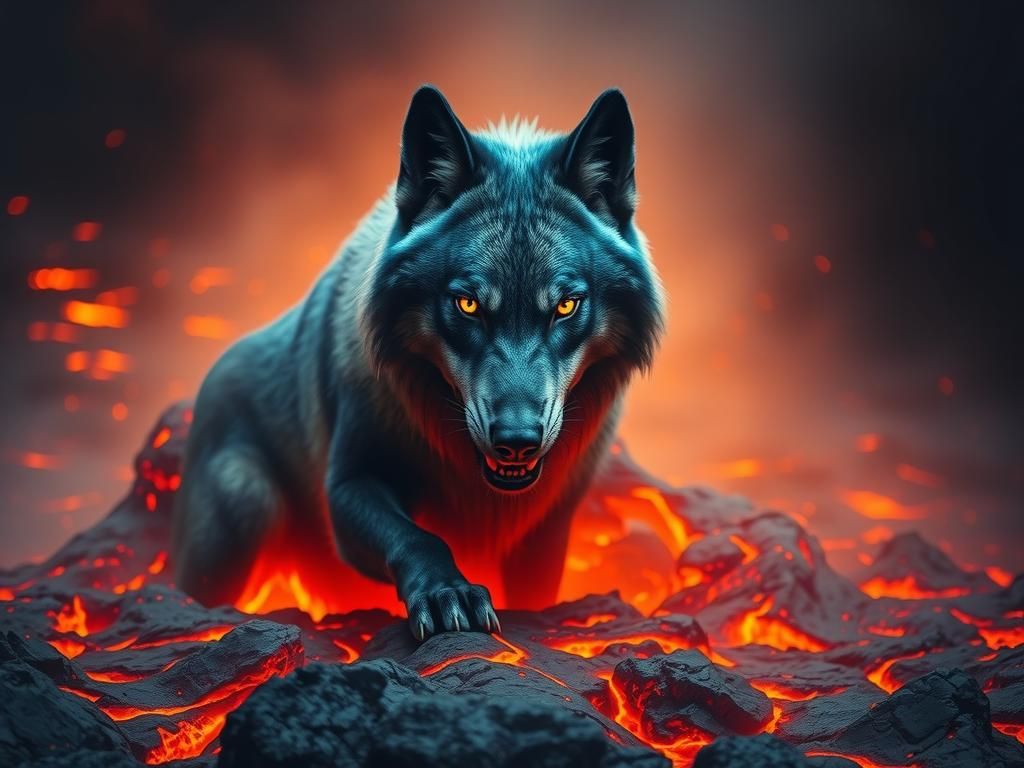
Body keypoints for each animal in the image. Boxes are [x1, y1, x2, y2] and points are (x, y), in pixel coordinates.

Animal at [171, 85, 664, 639]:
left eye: (565, 306)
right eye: (467, 304)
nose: (516, 440)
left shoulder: (548, 531)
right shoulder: (348, 484)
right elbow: (419, 537)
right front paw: (449, 594)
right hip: (246, 501)